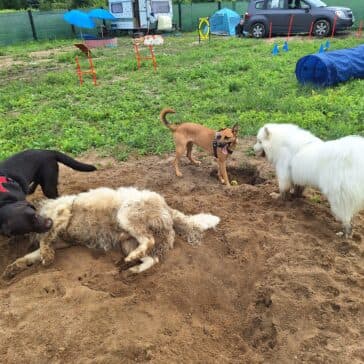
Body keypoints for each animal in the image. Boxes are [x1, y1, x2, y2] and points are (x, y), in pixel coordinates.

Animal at [2, 186, 219, 278]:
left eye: (33, 218)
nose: (46, 222)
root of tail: (167, 207)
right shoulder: (58, 239)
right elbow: (30, 255)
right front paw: (13, 268)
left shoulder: (61, 215)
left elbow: (44, 242)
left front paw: (47, 257)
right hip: (128, 241)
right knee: (151, 257)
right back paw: (131, 267)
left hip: (126, 215)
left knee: (148, 241)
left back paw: (132, 261)